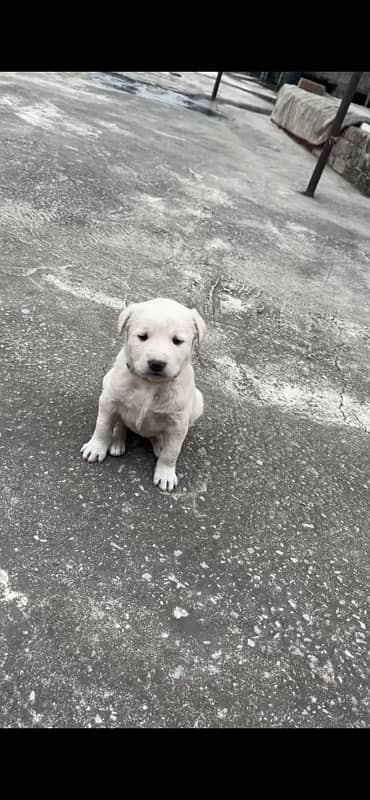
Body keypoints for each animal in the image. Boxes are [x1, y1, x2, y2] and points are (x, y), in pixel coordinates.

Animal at [81, 296, 207, 490]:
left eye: (177, 341)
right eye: (142, 337)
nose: (157, 363)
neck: (150, 384)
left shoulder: (178, 423)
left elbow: (172, 452)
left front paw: (166, 474)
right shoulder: (109, 400)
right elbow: (102, 426)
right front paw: (95, 448)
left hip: (198, 402)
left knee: (159, 437)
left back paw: (159, 443)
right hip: (107, 380)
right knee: (120, 424)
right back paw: (117, 440)